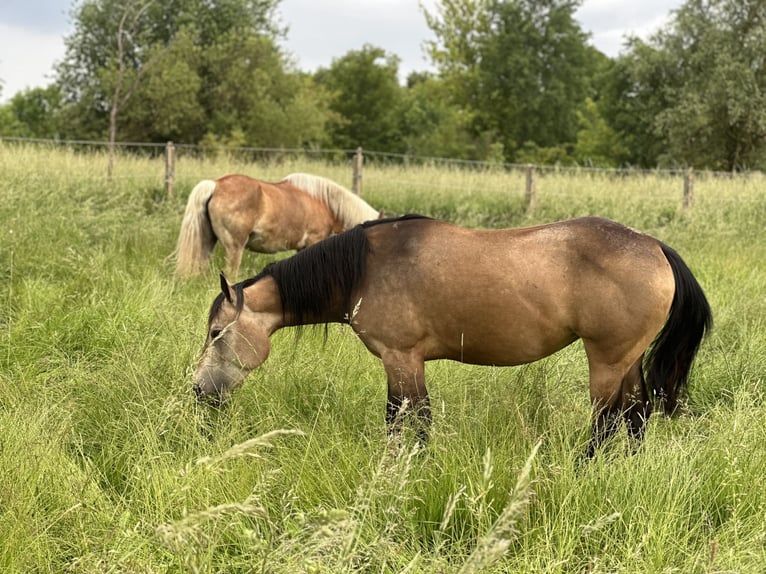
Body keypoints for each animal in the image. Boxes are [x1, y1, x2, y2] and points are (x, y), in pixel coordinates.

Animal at [192, 214, 712, 457]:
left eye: (217, 332)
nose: (198, 390)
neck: (364, 270)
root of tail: (654, 246)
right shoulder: (408, 363)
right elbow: (414, 418)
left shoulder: (400, 358)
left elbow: (405, 419)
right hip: (628, 360)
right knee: (636, 416)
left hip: (606, 360)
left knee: (608, 422)